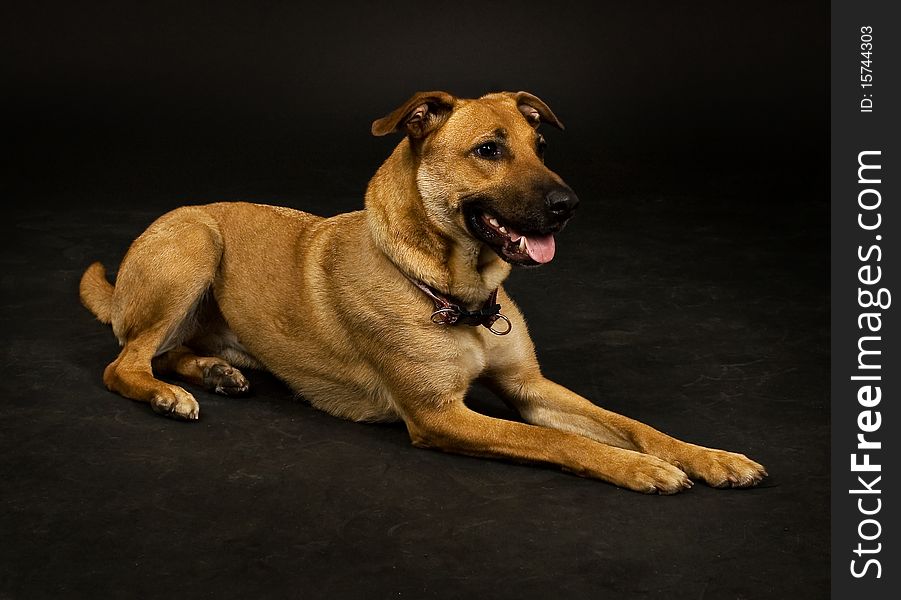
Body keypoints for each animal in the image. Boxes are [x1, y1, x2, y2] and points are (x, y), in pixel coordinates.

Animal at [79, 89, 768, 492]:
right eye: (488, 150)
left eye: (541, 146)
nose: (569, 206)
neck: (452, 292)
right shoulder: (442, 415)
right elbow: (555, 440)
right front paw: (642, 468)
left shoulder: (530, 387)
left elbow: (625, 422)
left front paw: (707, 456)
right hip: (194, 246)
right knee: (125, 363)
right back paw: (167, 394)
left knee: (167, 349)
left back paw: (214, 372)